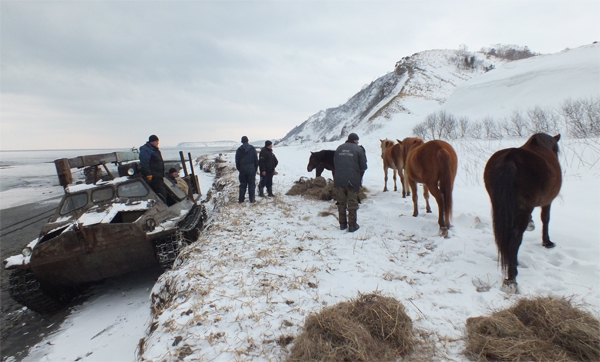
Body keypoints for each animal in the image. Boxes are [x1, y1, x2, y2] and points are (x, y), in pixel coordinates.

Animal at [482, 132, 564, 292]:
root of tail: (509, 158)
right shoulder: (547, 202)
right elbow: (546, 218)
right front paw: (547, 242)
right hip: (523, 208)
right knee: (515, 237)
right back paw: (511, 277)